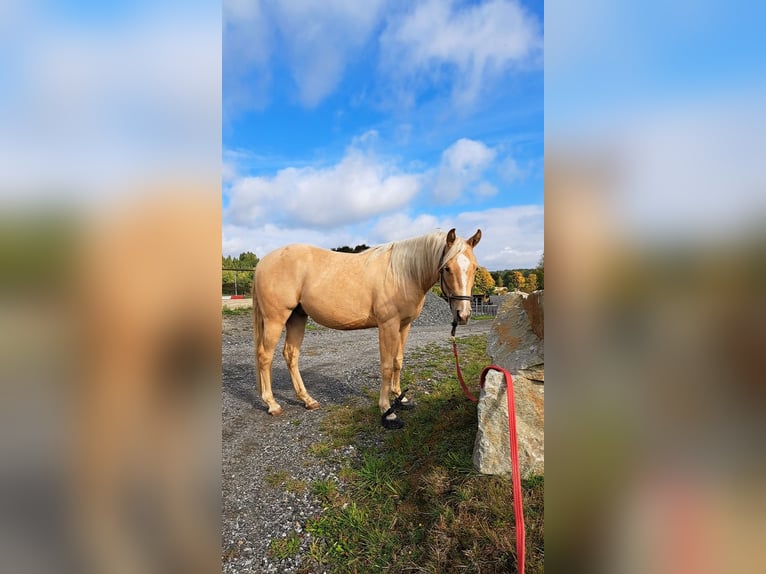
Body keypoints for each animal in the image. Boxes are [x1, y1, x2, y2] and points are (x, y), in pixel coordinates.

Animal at [252, 228, 482, 429]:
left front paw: (401, 397)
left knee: (291, 355)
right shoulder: (388, 325)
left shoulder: (404, 325)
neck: (403, 273)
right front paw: (387, 410)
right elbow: (386, 366)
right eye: (447, 268)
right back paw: (272, 404)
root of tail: (264, 262)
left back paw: (307, 400)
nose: (463, 315)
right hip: (275, 319)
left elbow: (398, 361)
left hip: (297, 317)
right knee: (265, 356)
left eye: (474, 268)